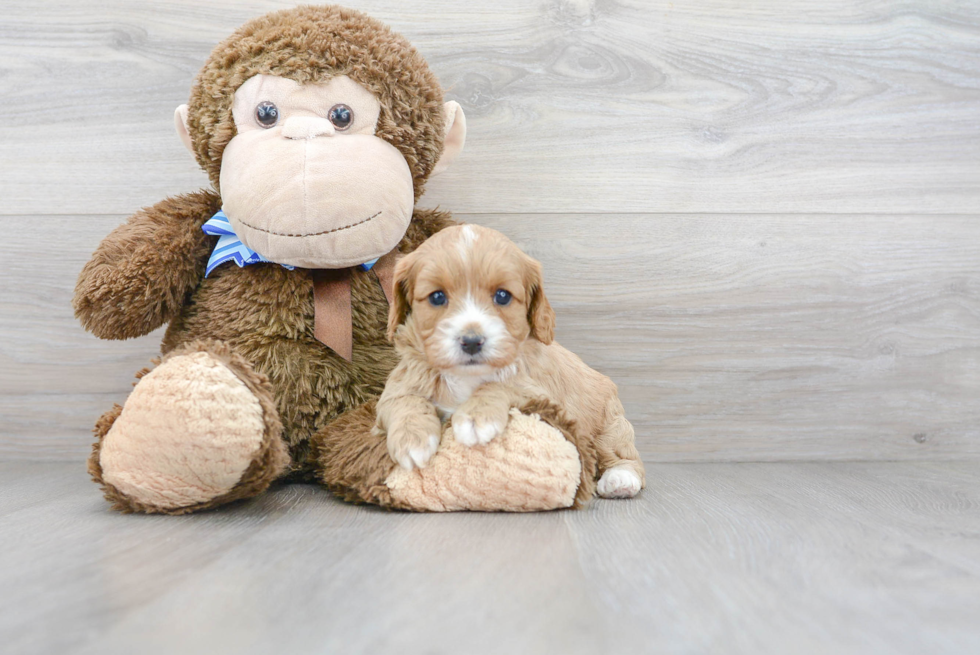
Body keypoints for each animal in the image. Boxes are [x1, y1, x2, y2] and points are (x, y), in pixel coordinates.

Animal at [374, 223, 644, 500]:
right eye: (437, 297)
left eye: (502, 296)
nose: (472, 341)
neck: (467, 376)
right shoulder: (398, 385)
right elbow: (404, 400)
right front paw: (412, 440)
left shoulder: (542, 396)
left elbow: (500, 384)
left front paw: (476, 417)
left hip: (609, 422)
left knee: (623, 454)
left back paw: (620, 479)